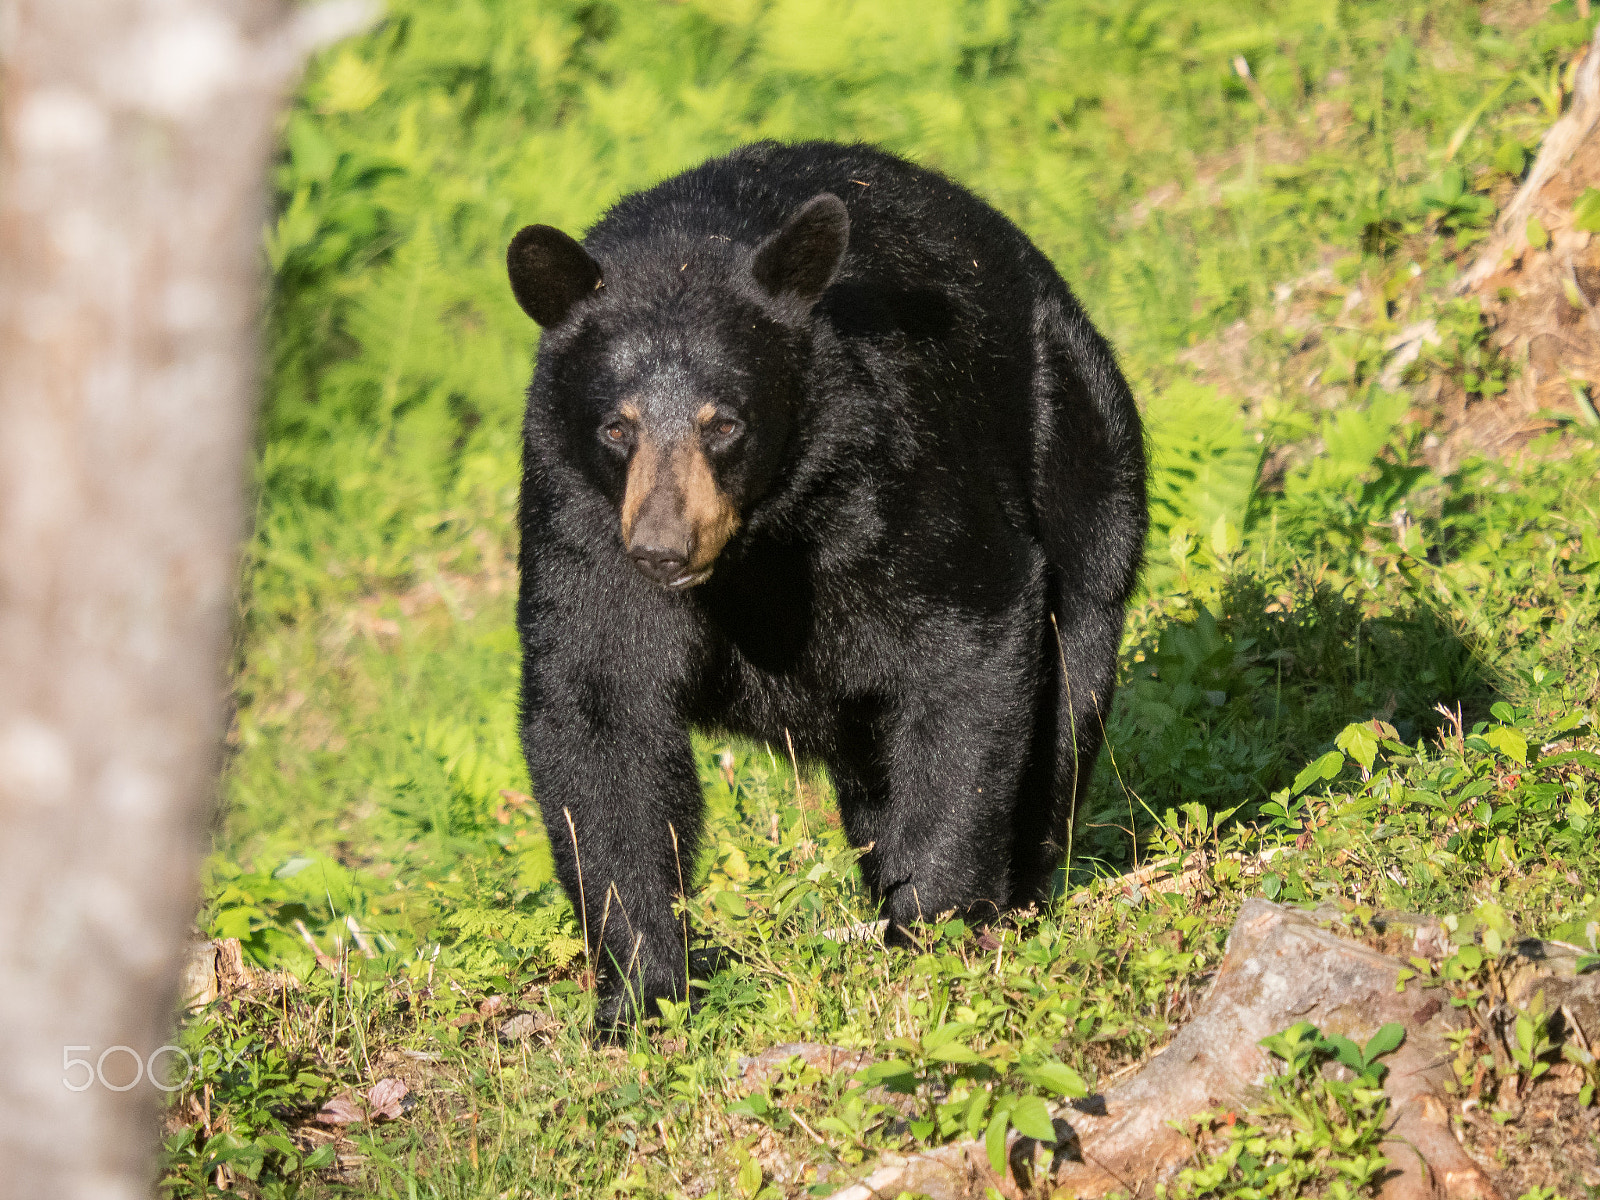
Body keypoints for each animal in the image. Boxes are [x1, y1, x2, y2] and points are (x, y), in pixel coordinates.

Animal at [505, 143, 1145, 1036]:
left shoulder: (890, 464)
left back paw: (1018, 885)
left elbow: (968, 634)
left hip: (1077, 435)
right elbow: (599, 714)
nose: (663, 548)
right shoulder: (578, 516)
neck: (760, 542)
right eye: (616, 426)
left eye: (724, 422)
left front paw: (937, 923)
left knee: (1068, 686)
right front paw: (644, 994)